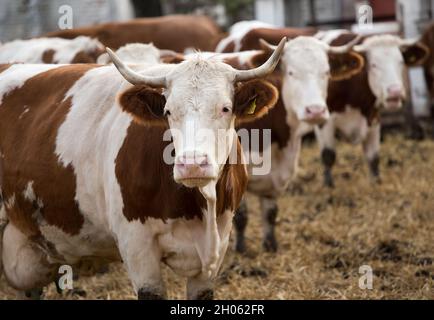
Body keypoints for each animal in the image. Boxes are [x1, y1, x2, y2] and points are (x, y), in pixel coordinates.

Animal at [0, 40, 284, 300]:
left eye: (225, 108)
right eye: (168, 111)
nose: (192, 163)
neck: (200, 206)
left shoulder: (215, 250)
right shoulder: (137, 246)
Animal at [217, 35, 362, 252]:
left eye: (326, 72)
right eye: (291, 73)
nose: (315, 111)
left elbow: (270, 213)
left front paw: (270, 245)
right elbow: (241, 215)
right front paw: (241, 248)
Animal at [314, 31, 428, 186]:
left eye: (400, 62)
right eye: (374, 65)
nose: (395, 92)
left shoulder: (373, 119)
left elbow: (373, 158)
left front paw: (376, 182)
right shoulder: (324, 121)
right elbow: (328, 155)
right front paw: (328, 186)